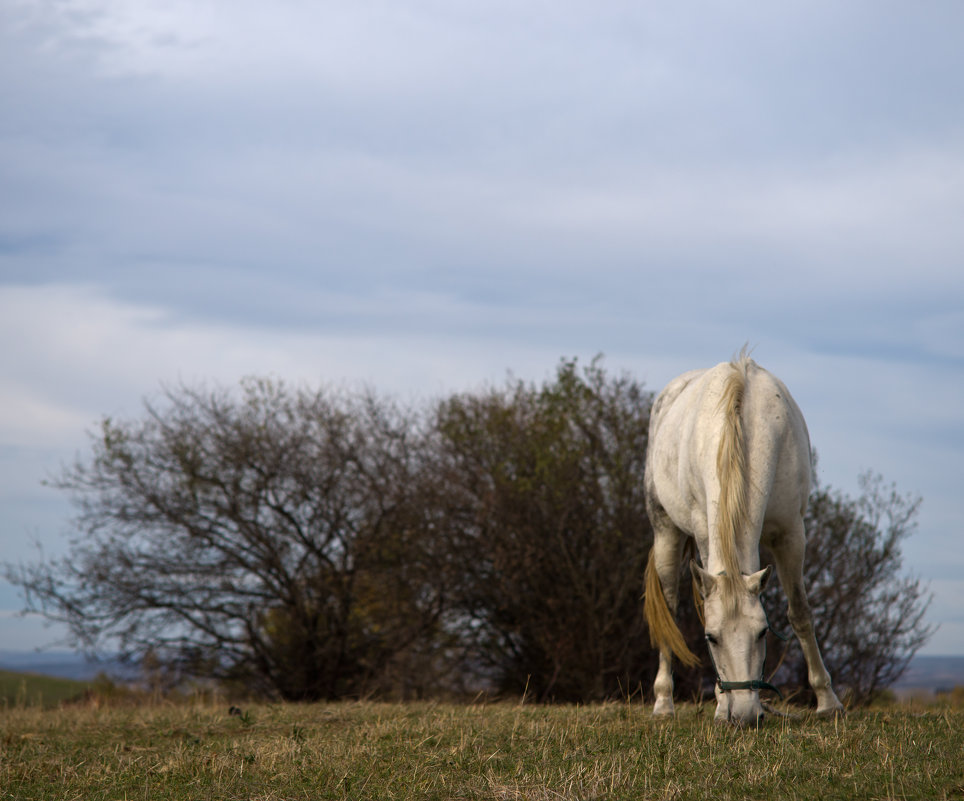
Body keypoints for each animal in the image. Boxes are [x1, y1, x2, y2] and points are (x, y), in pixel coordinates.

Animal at [644, 352, 840, 724]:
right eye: (711, 638)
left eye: (762, 632)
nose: (746, 715)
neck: (746, 424)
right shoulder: (705, 533)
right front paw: (721, 705)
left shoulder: (791, 532)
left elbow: (800, 612)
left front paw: (827, 700)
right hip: (665, 532)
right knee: (669, 612)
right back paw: (663, 702)